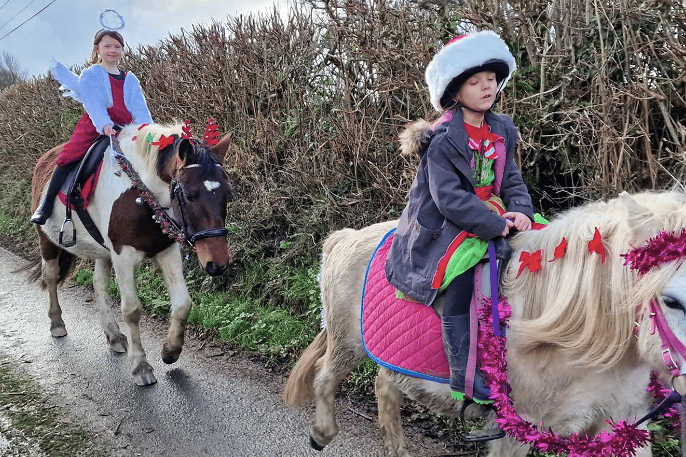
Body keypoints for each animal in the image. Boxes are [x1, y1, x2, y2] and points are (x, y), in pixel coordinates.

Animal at [29, 122, 233, 386]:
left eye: (228, 194)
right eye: (189, 195)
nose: (217, 264)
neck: (142, 195)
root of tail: (45, 158)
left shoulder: (167, 251)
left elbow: (182, 304)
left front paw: (170, 351)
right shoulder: (122, 257)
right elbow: (132, 310)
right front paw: (141, 366)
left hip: (102, 251)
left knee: (99, 285)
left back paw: (114, 335)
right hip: (48, 241)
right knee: (51, 276)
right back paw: (56, 323)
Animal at [283, 190, 686, 456]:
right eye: (671, 300)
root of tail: (345, 237)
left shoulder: (623, 420)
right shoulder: (519, 429)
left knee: (385, 388)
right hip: (346, 342)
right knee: (325, 378)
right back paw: (321, 433)